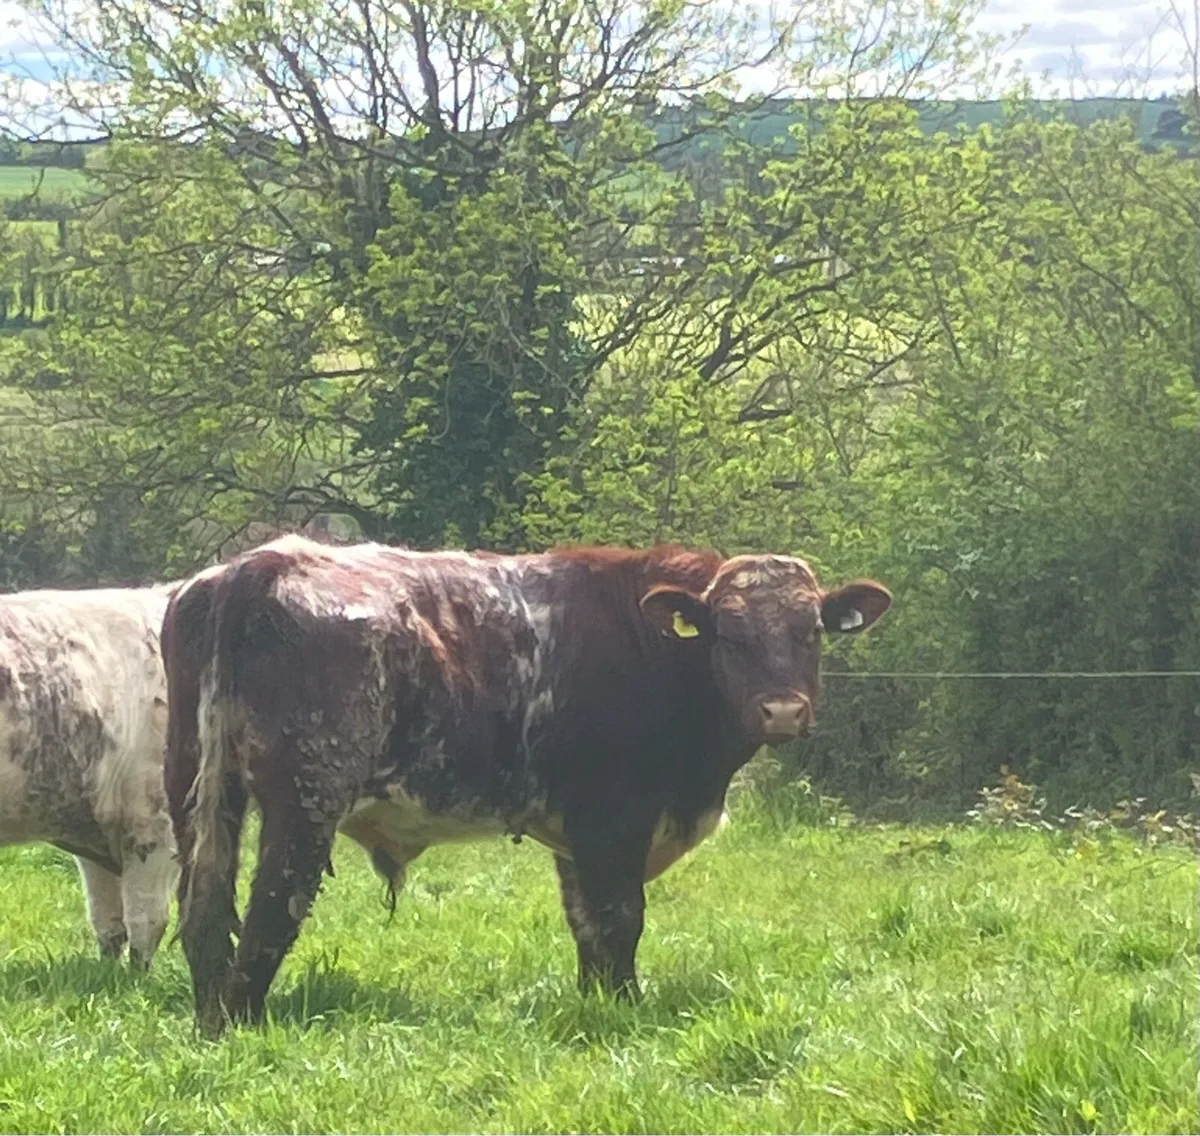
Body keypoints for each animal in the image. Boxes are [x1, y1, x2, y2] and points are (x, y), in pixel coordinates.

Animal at [164, 537, 891, 1035]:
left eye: (811, 632)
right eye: (731, 636)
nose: (784, 711)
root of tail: (267, 562)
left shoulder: (577, 836)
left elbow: (586, 926)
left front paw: (598, 1002)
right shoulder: (612, 820)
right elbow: (619, 920)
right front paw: (625, 1009)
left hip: (196, 794)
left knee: (204, 917)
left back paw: (210, 1022)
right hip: (305, 800)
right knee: (271, 911)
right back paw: (245, 1024)